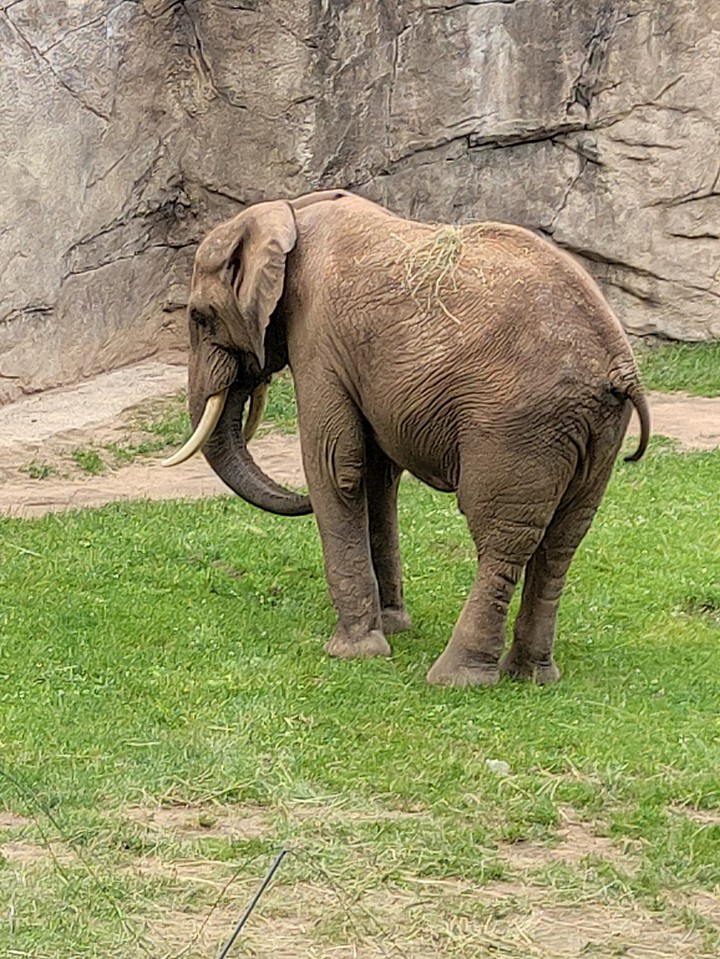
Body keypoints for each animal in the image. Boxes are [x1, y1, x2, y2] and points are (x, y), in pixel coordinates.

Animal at [163, 189, 650, 687]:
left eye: (200, 317)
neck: (291, 212)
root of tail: (616, 365)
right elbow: (377, 475)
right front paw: (394, 626)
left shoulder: (318, 340)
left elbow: (334, 464)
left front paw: (355, 652)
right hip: (593, 434)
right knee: (562, 541)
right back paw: (530, 676)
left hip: (518, 428)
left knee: (501, 539)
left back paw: (456, 679)